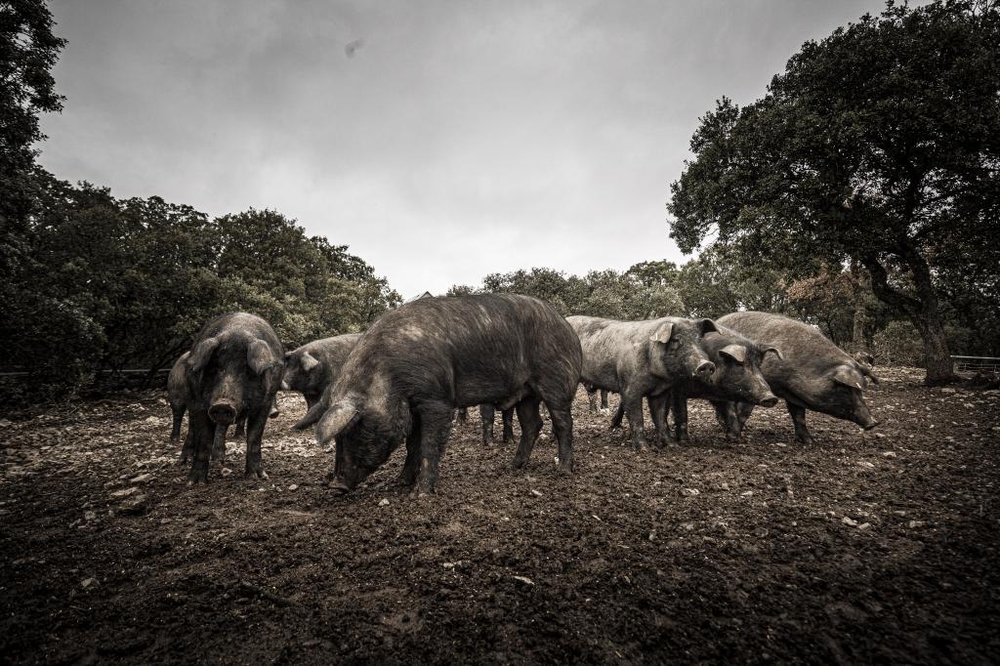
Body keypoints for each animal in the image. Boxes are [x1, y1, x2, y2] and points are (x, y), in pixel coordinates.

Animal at [183, 312, 284, 482]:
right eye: (214, 368)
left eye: (245, 370)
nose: (223, 404)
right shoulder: (199, 403)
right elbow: (204, 439)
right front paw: (194, 482)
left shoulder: (265, 402)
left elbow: (255, 437)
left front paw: (258, 477)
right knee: (195, 427)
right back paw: (190, 459)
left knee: (221, 428)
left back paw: (219, 459)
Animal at [292, 294, 584, 492]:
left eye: (355, 427)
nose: (337, 485)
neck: (389, 376)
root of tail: (568, 328)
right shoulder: (412, 407)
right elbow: (412, 444)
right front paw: (399, 483)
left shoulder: (437, 399)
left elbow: (429, 444)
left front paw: (422, 492)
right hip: (526, 392)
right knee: (533, 424)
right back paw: (512, 466)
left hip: (556, 381)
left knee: (563, 423)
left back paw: (563, 470)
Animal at [564, 314, 720, 448]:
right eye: (676, 340)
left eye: (699, 340)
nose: (706, 364)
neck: (658, 378)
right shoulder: (629, 387)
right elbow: (636, 418)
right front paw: (644, 448)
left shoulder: (660, 392)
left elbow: (660, 418)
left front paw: (672, 445)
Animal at [720, 310, 876, 444]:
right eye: (845, 388)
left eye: (859, 390)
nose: (873, 422)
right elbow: (745, 410)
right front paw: (735, 437)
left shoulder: (793, 395)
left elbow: (799, 416)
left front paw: (810, 442)